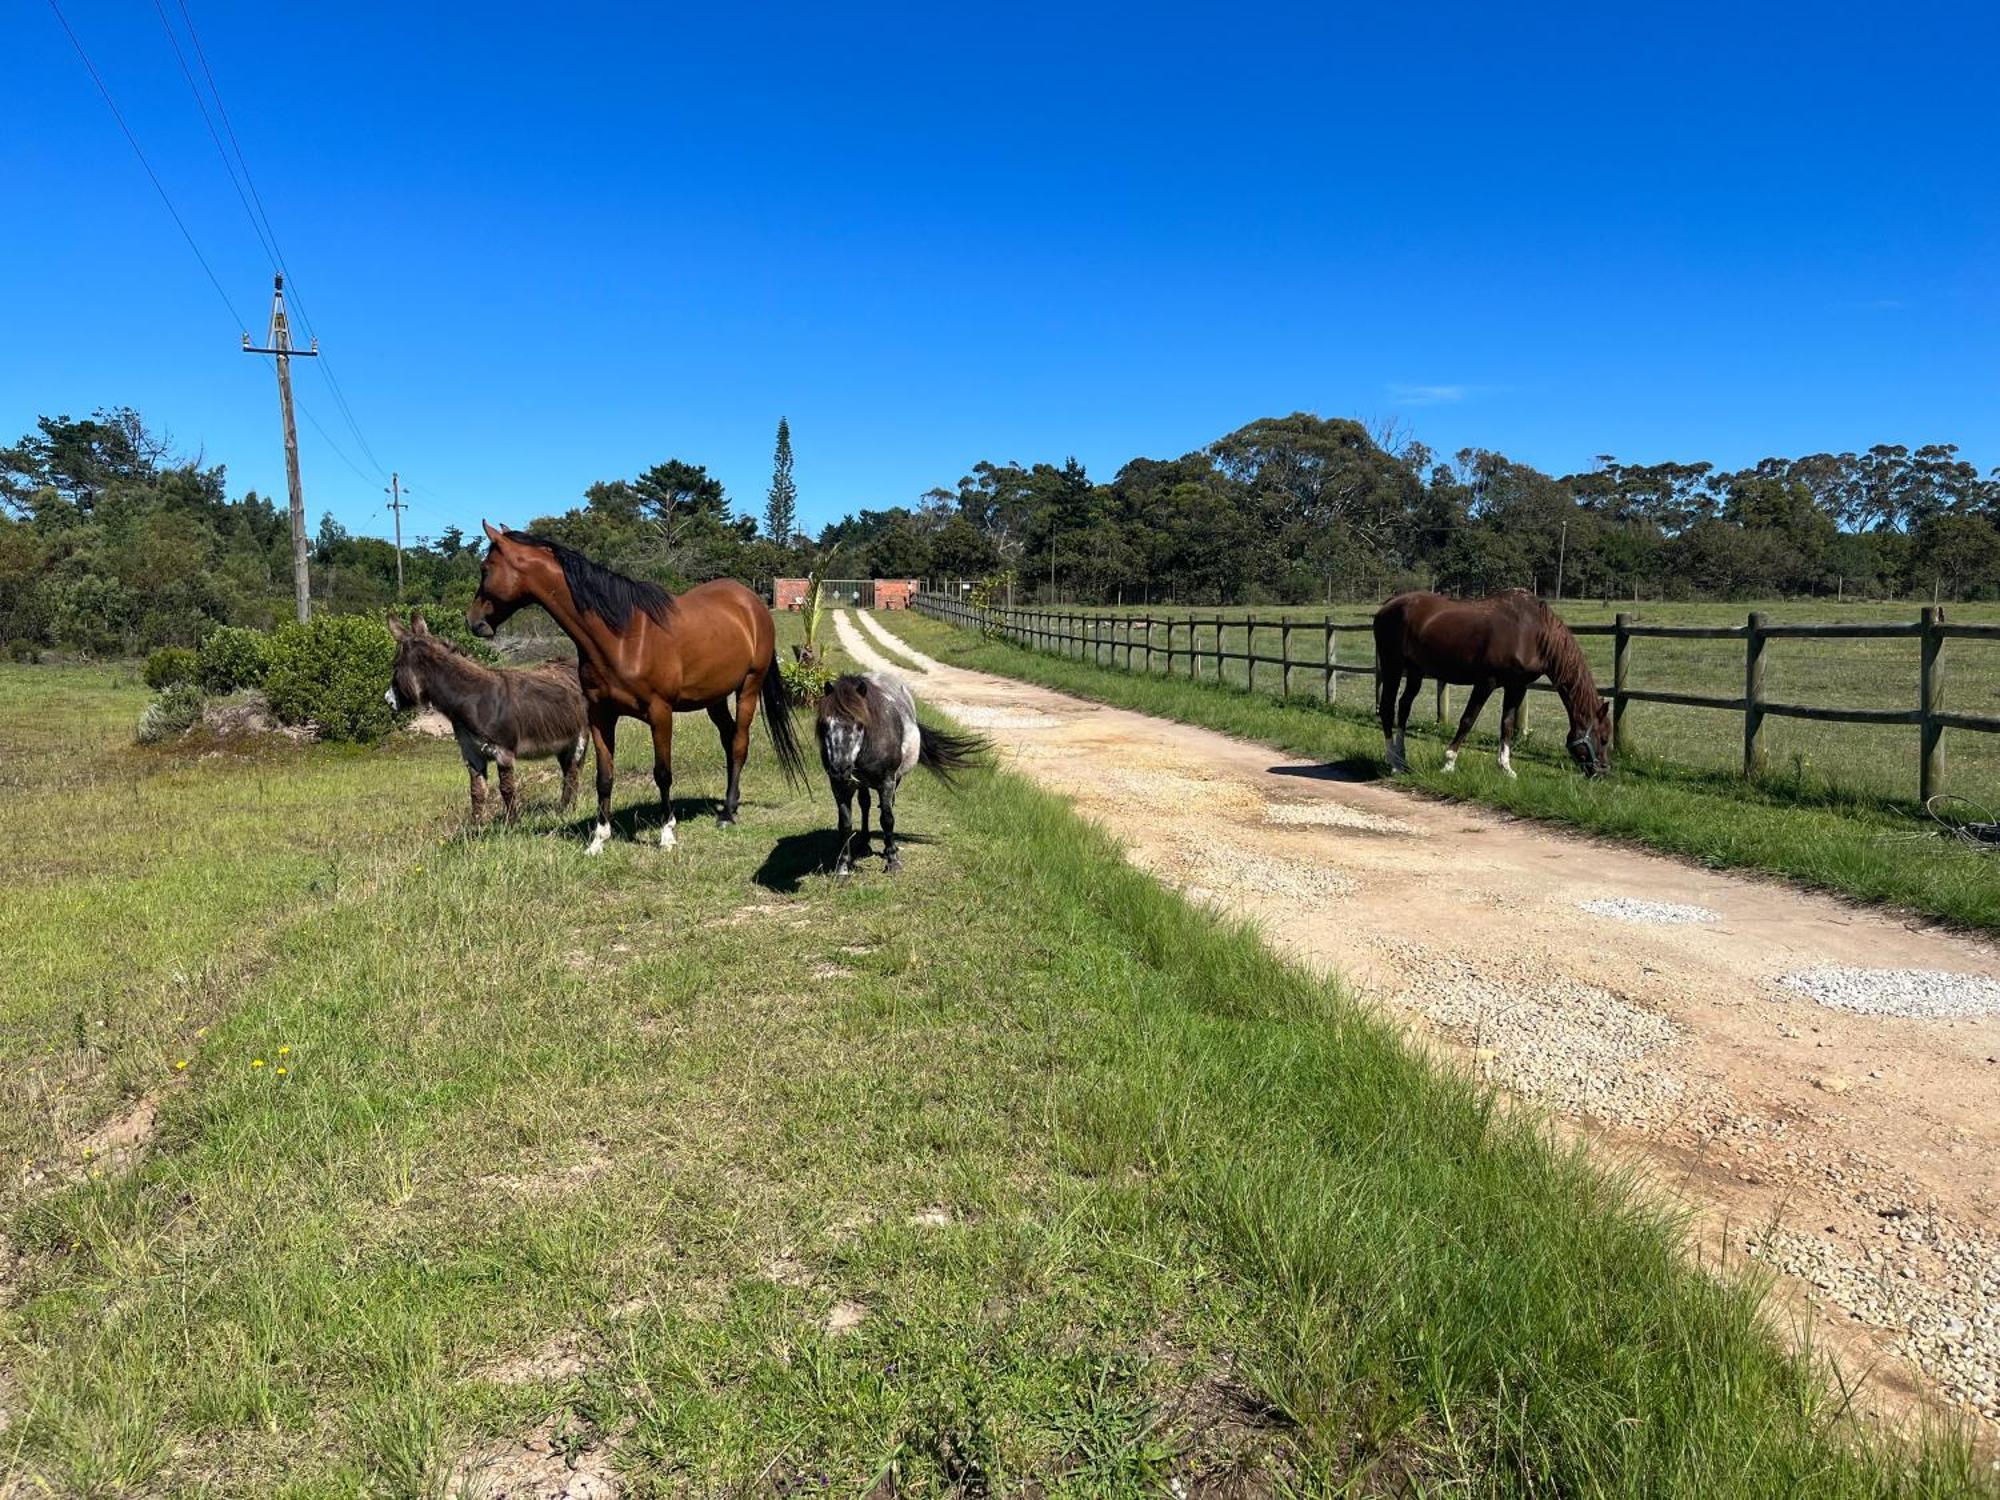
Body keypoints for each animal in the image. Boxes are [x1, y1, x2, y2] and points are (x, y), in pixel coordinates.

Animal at [384, 612, 584, 824]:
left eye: (394, 665)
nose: (388, 700)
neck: (473, 698)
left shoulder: (504, 752)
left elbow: (507, 789)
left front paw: (513, 823)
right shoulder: (472, 754)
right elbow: (476, 792)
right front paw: (476, 826)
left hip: (579, 737)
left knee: (572, 773)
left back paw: (565, 811)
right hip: (564, 744)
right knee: (570, 772)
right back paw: (566, 810)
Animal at [466, 524, 804, 856]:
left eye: (485, 569)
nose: (474, 622)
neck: (623, 637)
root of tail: (751, 602)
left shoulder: (660, 713)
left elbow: (663, 773)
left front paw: (667, 834)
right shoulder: (600, 716)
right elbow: (604, 778)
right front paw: (598, 840)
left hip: (749, 688)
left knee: (739, 743)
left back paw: (728, 813)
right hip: (715, 698)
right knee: (729, 739)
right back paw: (726, 804)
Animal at [816, 672, 988, 876]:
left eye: (859, 725)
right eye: (825, 725)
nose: (839, 769)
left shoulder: (887, 781)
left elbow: (887, 819)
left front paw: (892, 860)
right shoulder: (840, 786)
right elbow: (845, 824)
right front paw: (842, 868)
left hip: (896, 779)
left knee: (888, 805)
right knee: (865, 804)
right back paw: (865, 844)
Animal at [1376, 592, 1608, 780]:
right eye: (1604, 739)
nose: (1602, 772)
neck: (1531, 633)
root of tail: (1388, 605)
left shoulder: (1516, 686)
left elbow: (1507, 724)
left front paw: (1506, 768)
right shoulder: (1486, 683)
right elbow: (1467, 720)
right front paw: (1449, 763)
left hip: (1415, 671)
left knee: (1404, 706)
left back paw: (1402, 760)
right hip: (1392, 666)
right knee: (1387, 708)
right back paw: (1394, 764)